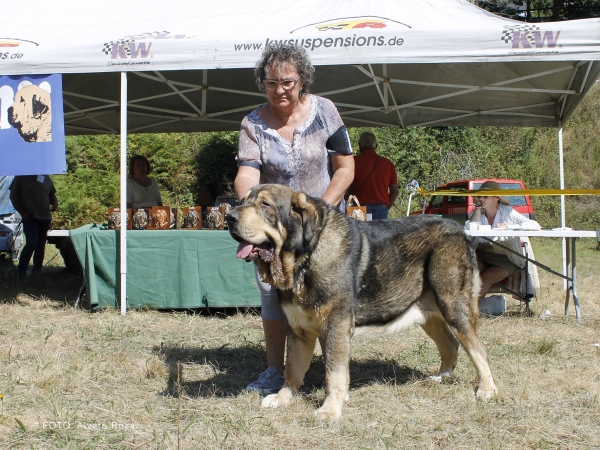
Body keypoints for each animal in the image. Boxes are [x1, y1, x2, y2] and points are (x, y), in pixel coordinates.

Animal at [226, 184, 496, 418]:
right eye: (242, 201)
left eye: (265, 204)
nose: (229, 217)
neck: (304, 260)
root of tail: (460, 230)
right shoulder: (298, 330)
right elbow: (292, 369)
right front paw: (283, 398)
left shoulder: (336, 326)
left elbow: (334, 372)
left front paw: (330, 410)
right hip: (428, 313)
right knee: (450, 344)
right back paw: (442, 377)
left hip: (453, 305)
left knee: (478, 349)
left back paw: (486, 389)